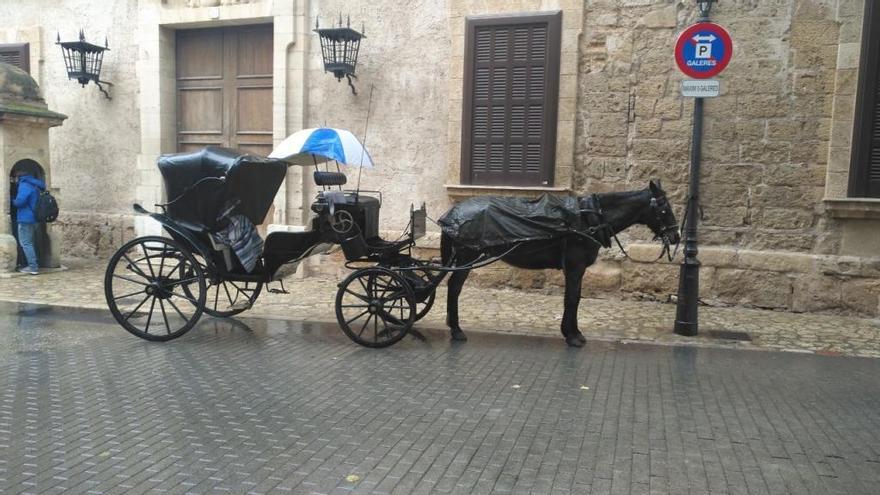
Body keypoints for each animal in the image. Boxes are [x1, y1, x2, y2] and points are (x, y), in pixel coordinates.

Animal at [440, 180, 680, 346]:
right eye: (664, 208)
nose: (676, 236)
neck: (588, 219)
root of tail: (453, 214)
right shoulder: (575, 267)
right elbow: (572, 299)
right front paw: (572, 335)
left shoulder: (577, 269)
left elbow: (575, 298)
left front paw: (573, 331)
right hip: (467, 258)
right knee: (454, 287)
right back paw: (456, 329)